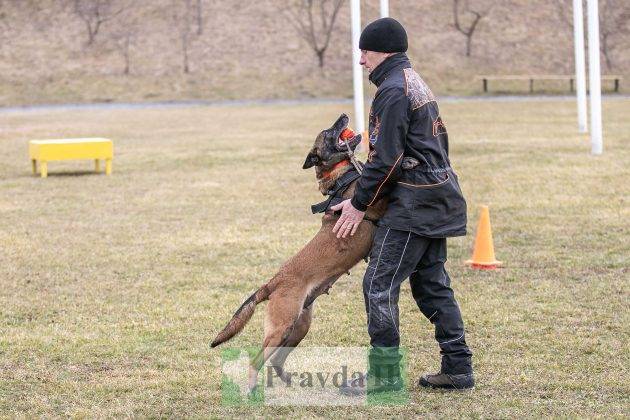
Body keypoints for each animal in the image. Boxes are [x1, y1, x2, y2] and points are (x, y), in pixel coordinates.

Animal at [212, 114, 388, 390]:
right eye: (329, 131)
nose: (343, 116)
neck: (340, 175)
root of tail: (272, 282)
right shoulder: (377, 200)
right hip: (281, 327)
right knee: (256, 360)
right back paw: (251, 389)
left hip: (298, 327)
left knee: (275, 360)